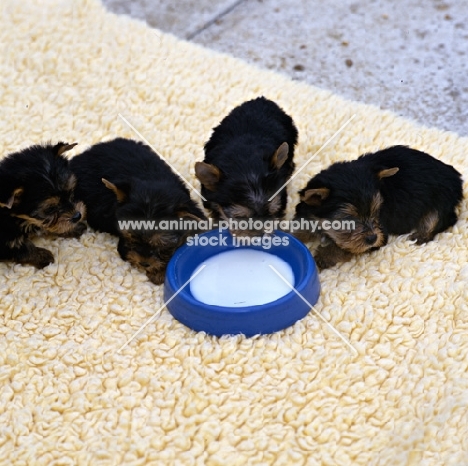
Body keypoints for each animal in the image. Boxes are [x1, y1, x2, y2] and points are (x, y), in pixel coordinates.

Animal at [0, 141, 87, 270]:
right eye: (50, 209)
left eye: (70, 192)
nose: (77, 216)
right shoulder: (4, 237)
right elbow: (20, 248)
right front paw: (43, 256)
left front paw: (73, 228)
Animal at [294, 146, 462, 270]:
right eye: (348, 219)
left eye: (376, 212)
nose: (372, 238)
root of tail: (455, 176)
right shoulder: (308, 212)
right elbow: (301, 228)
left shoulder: (380, 232)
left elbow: (346, 247)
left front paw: (322, 257)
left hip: (441, 200)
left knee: (439, 219)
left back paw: (421, 236)